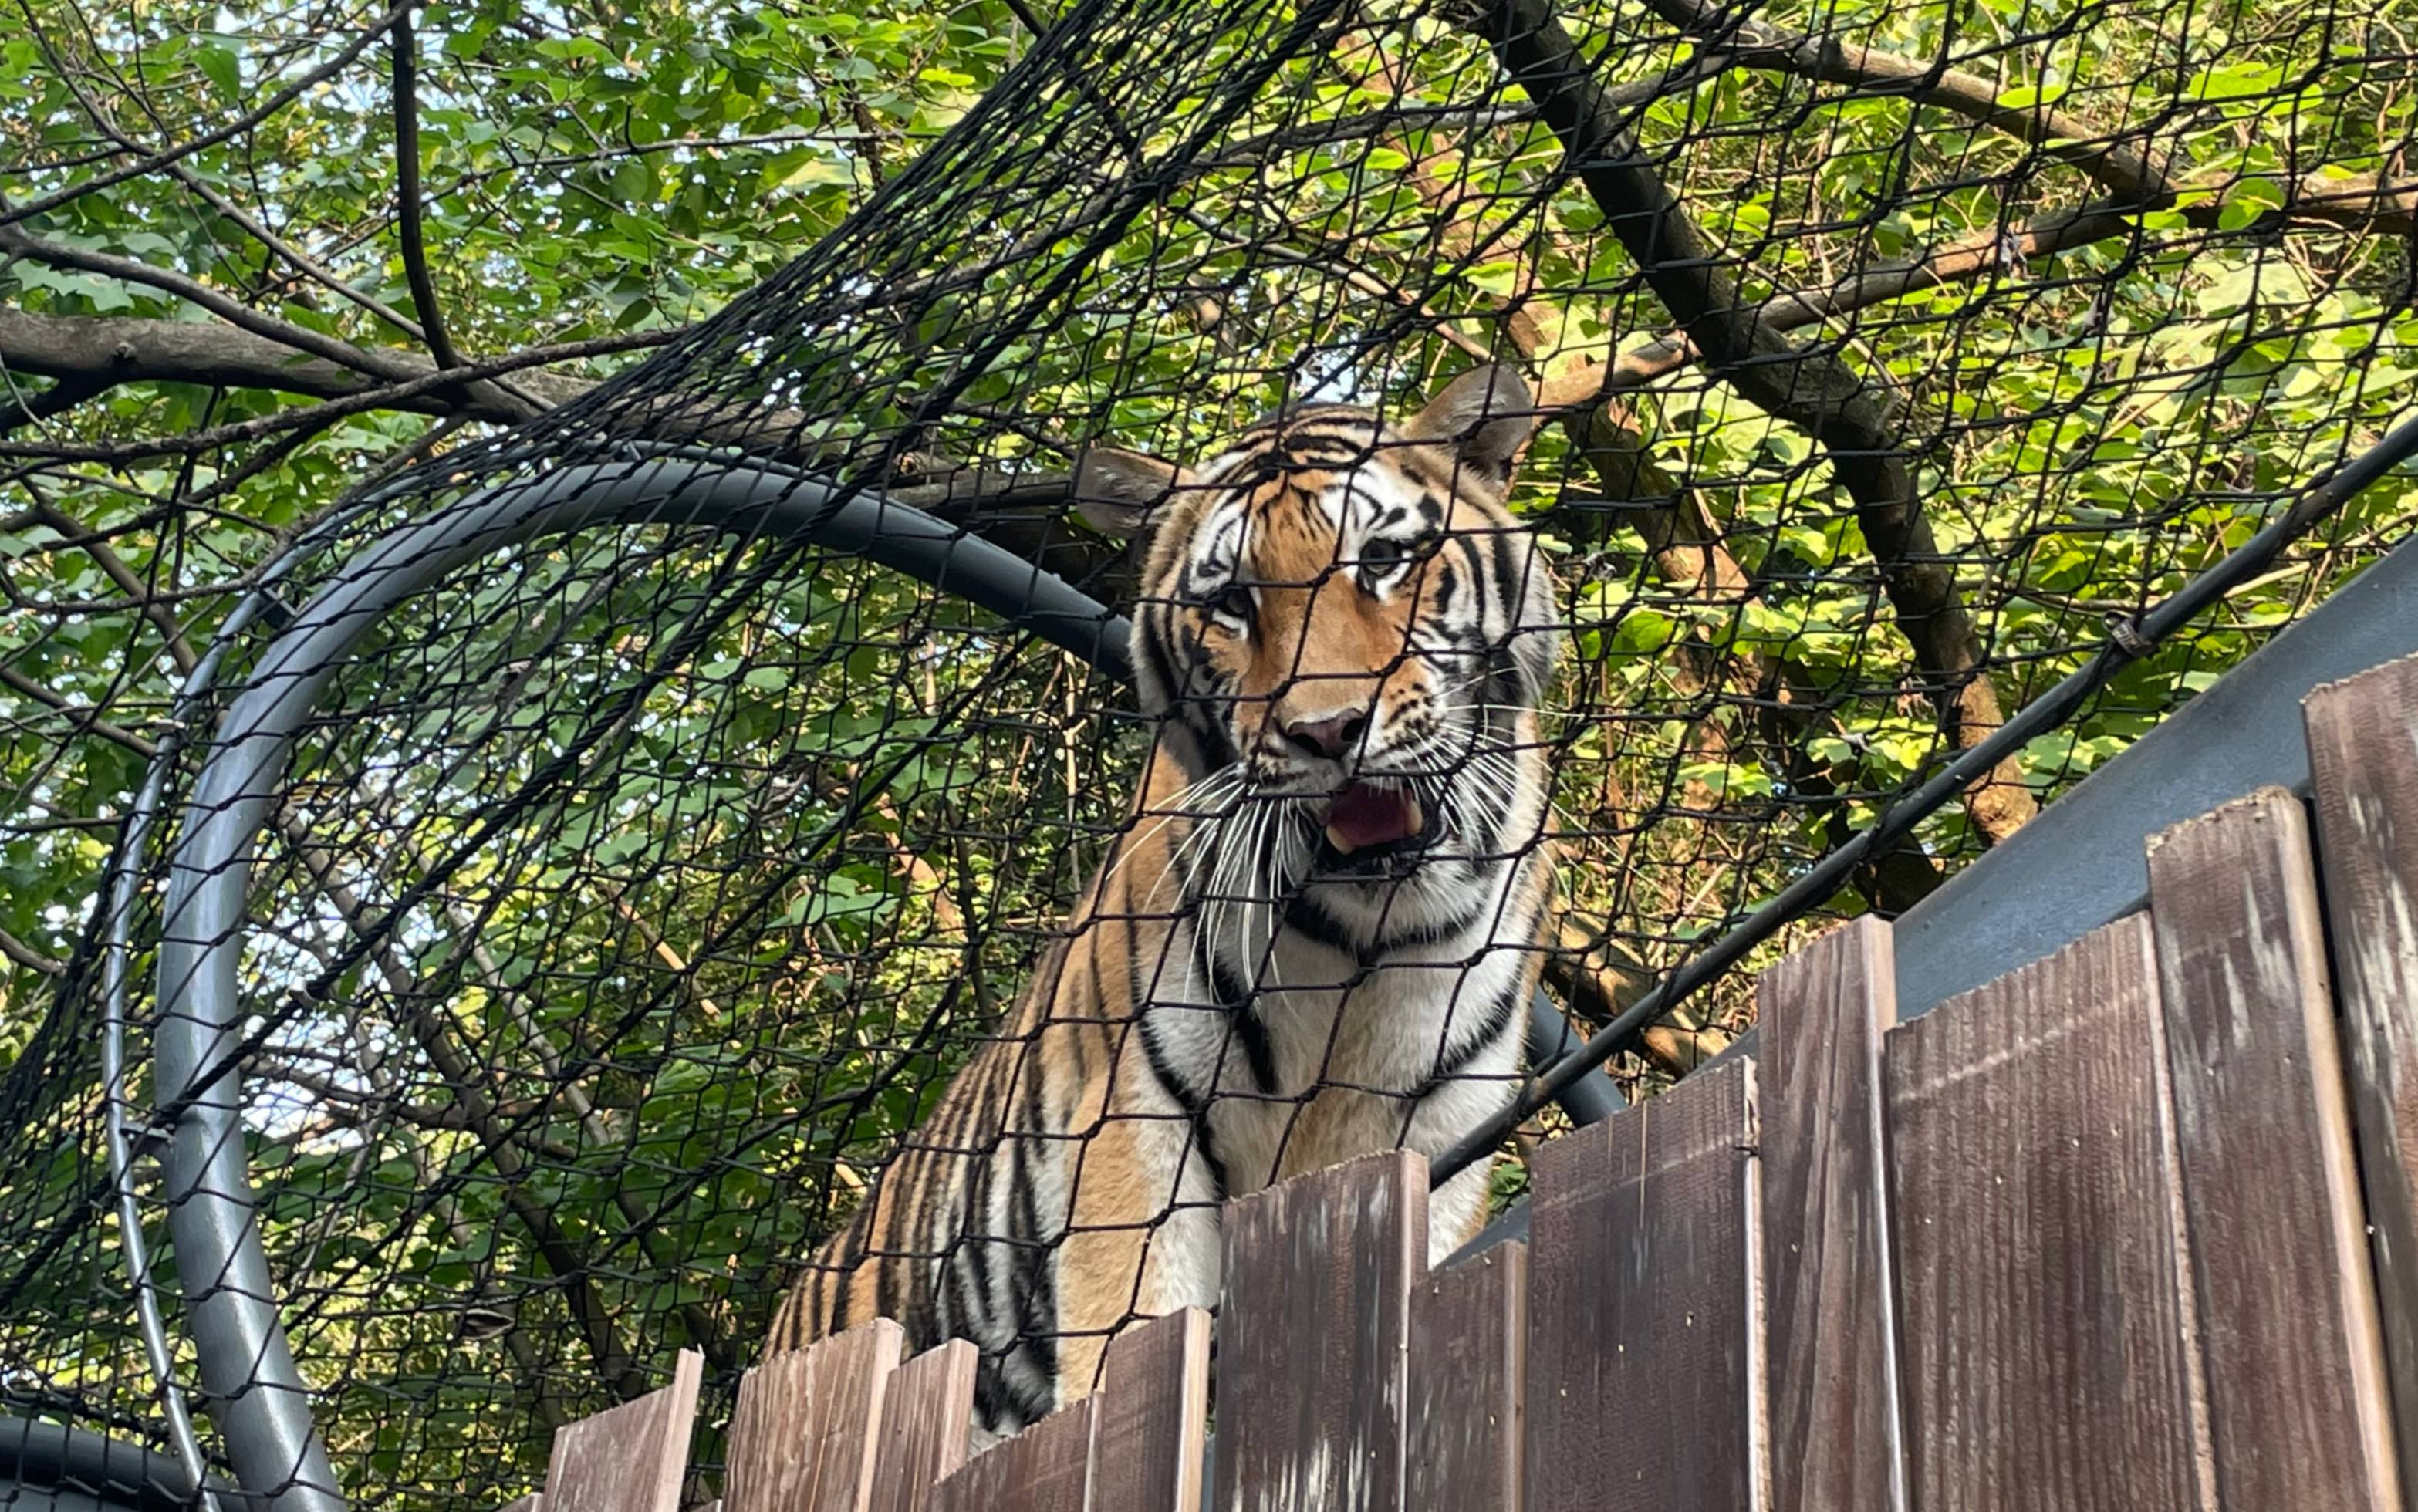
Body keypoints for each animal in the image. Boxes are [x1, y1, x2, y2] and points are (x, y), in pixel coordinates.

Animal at [768, 363, 1563, 1438]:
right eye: (1229, 602)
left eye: (1383, 559)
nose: (1327, 731)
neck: (1362, 933)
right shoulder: (1133, 1128)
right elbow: (1132, 1346)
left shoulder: (1433, 1137)